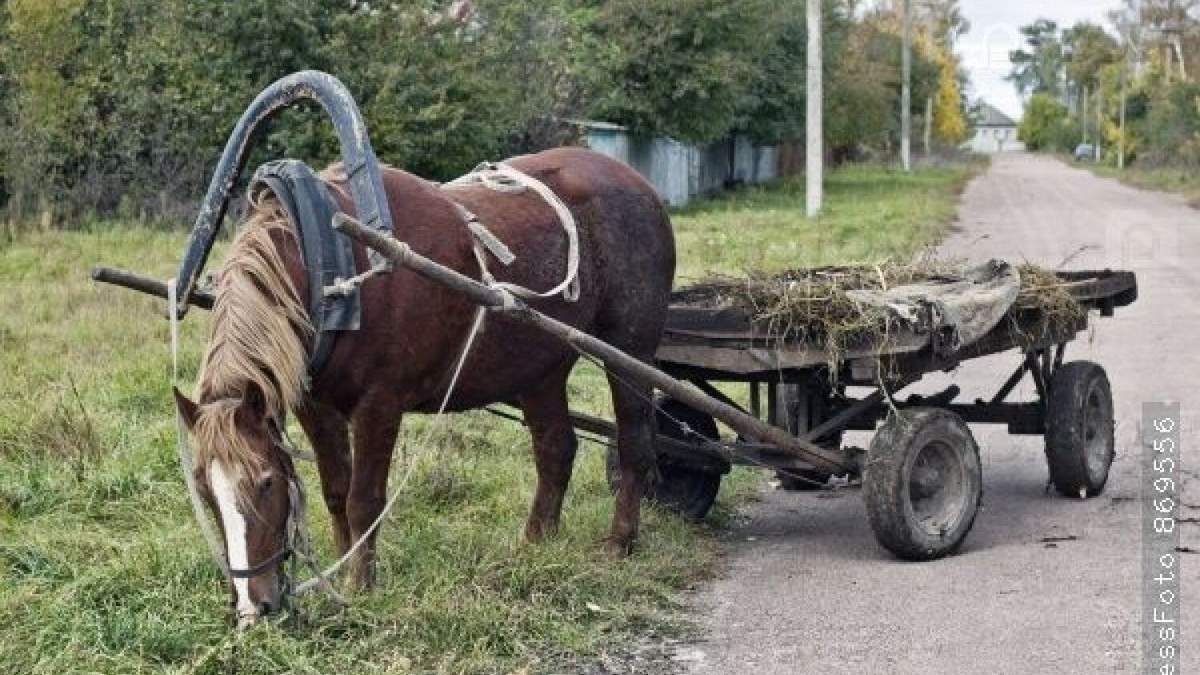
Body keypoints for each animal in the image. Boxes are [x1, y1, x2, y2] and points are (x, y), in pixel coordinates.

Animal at [171, 148, 676, 624]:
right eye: (204, 490)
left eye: (266, 482)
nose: (253, 609)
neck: (331, 268)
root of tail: (640, 184)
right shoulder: (314, 406)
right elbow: (336, 492)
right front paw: (341, 570)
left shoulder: (379, 404)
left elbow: (363, 500)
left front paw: (361, 586)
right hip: (540, 367)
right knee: (556, 448)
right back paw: (536, 542)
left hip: (630, 351)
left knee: (634, 442)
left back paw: (619, 541)